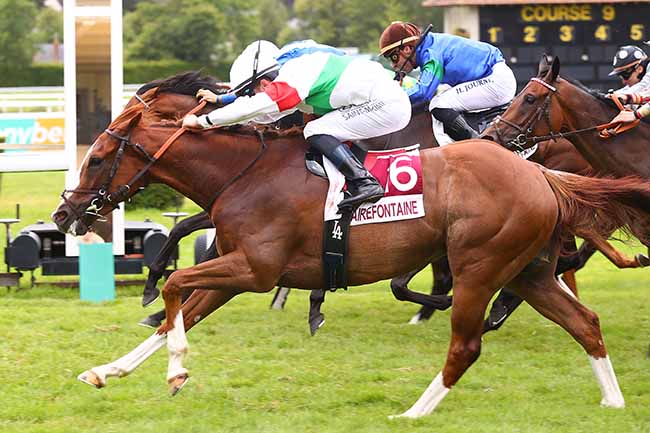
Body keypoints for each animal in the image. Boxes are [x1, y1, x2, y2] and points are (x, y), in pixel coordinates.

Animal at [52, 72, 648, 414]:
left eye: (98, 158)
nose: (63, 213)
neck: (244, 172)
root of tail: (540, 173)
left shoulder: (254, 270)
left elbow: (177, 283)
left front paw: (176, 370)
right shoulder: (237, 270)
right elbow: (180, 311)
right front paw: (108, 370)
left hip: (480, 265)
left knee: (467, 344)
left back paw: (413, 412)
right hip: (528, 270)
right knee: (585, 323)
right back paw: (613, 401)